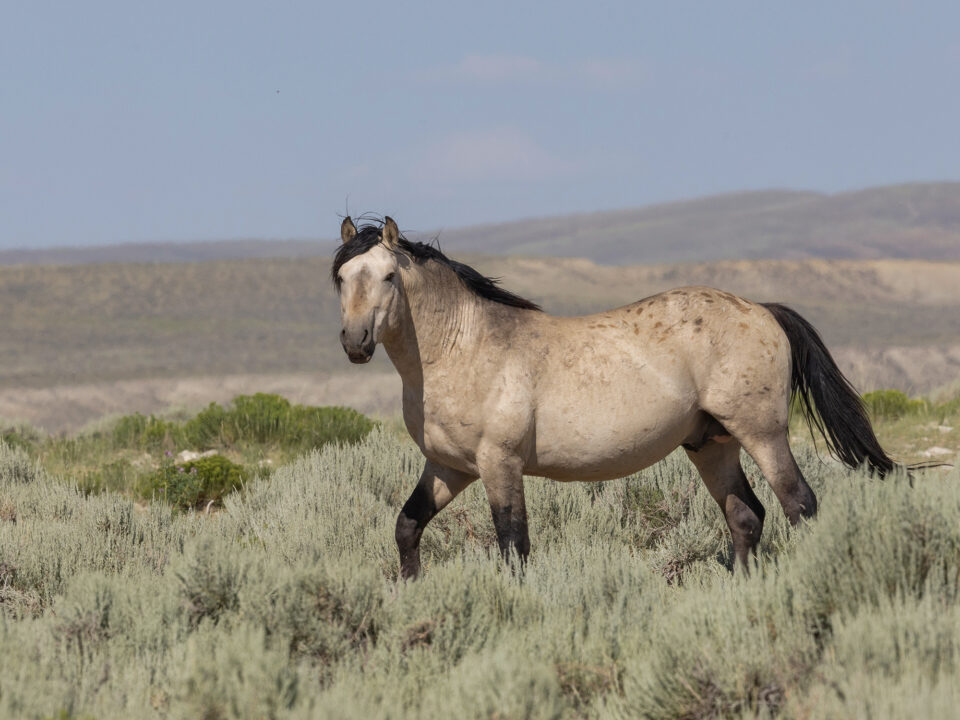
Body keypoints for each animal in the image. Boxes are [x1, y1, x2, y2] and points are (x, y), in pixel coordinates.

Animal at [330, 215, 892, 580]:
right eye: (341, 277)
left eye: (388, 276)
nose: (356, 342)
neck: (463, 348)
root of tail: (762, 310)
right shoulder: (449, 468)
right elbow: (407, 526)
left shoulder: (499, 465)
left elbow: (514, 547)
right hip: (712, 445)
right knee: (746, 517)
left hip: (763, 434)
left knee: (800, 504)